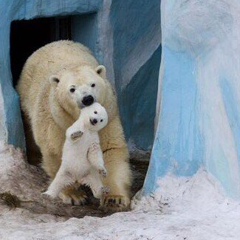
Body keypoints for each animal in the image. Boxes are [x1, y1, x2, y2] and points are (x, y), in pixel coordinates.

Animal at [17, 40, 132, 212]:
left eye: (93, 84)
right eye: (72, 89)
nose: (87, 99)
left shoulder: (108, 117)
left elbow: (109, 149)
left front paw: (114, 198)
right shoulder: (57, 122)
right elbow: (57, 153)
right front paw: (74, 195)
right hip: (26, 97)